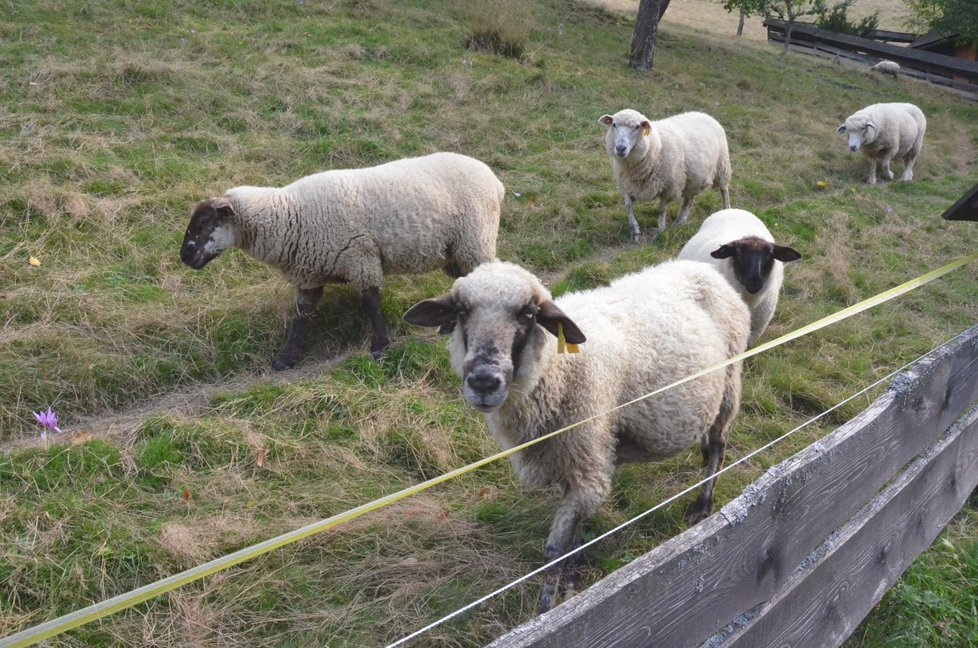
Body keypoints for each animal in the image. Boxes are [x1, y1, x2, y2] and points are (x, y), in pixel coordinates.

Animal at [402, 258, 748, 612]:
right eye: (461, 310)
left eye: (528, 313)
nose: (484, 382)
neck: (557, 369)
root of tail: (702, 269)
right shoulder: (568, 460)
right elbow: (571, 537)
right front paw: (573, 571)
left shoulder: (586, 464)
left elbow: (554, 552)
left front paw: (547, 609)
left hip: (730, 382)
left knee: (720, 445)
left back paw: (702, 504)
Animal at [676, 210, 796, 346]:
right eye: (738, 253)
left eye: (770, 254)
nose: (754, 281)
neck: (750, 300)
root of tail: (733, 209)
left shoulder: (753, 334)